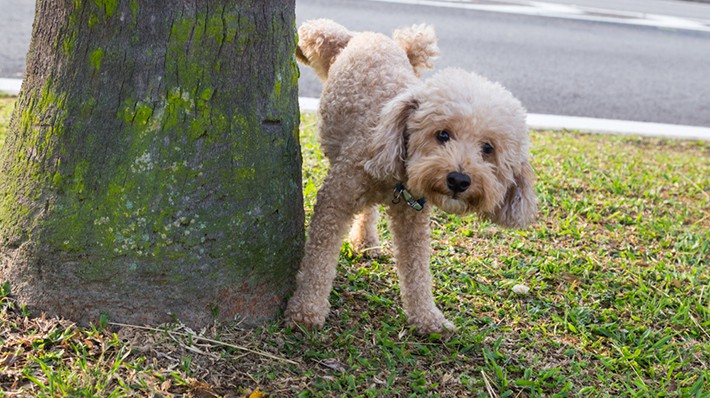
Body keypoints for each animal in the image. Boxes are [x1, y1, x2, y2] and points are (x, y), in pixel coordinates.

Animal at [286, 20, 536, 334]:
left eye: (488, 148)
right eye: (442, 134)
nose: (459, 180)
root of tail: (372, 37)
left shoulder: (412, 217)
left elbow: (417, 270)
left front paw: (427, 317)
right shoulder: (336, 199)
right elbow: (319, 259)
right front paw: (306, 309)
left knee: (368, 212)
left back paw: (366, 241)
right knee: (317, 29)